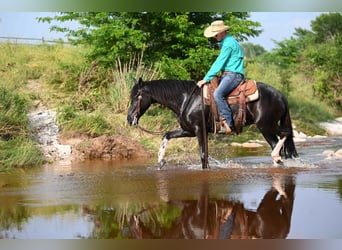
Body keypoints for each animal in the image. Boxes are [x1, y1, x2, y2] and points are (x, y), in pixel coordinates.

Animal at [127, 77, 298, 169]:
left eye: (136, 96)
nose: (129, 119)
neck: (186, 99)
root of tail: (280, 95)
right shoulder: (188, 131)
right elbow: (166, 135)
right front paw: (161, 160)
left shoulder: (199, 129)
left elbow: (203, 154)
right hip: (267, 127)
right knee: (277, 142)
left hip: (266, 125)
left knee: (285, 134)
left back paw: (276, 157)